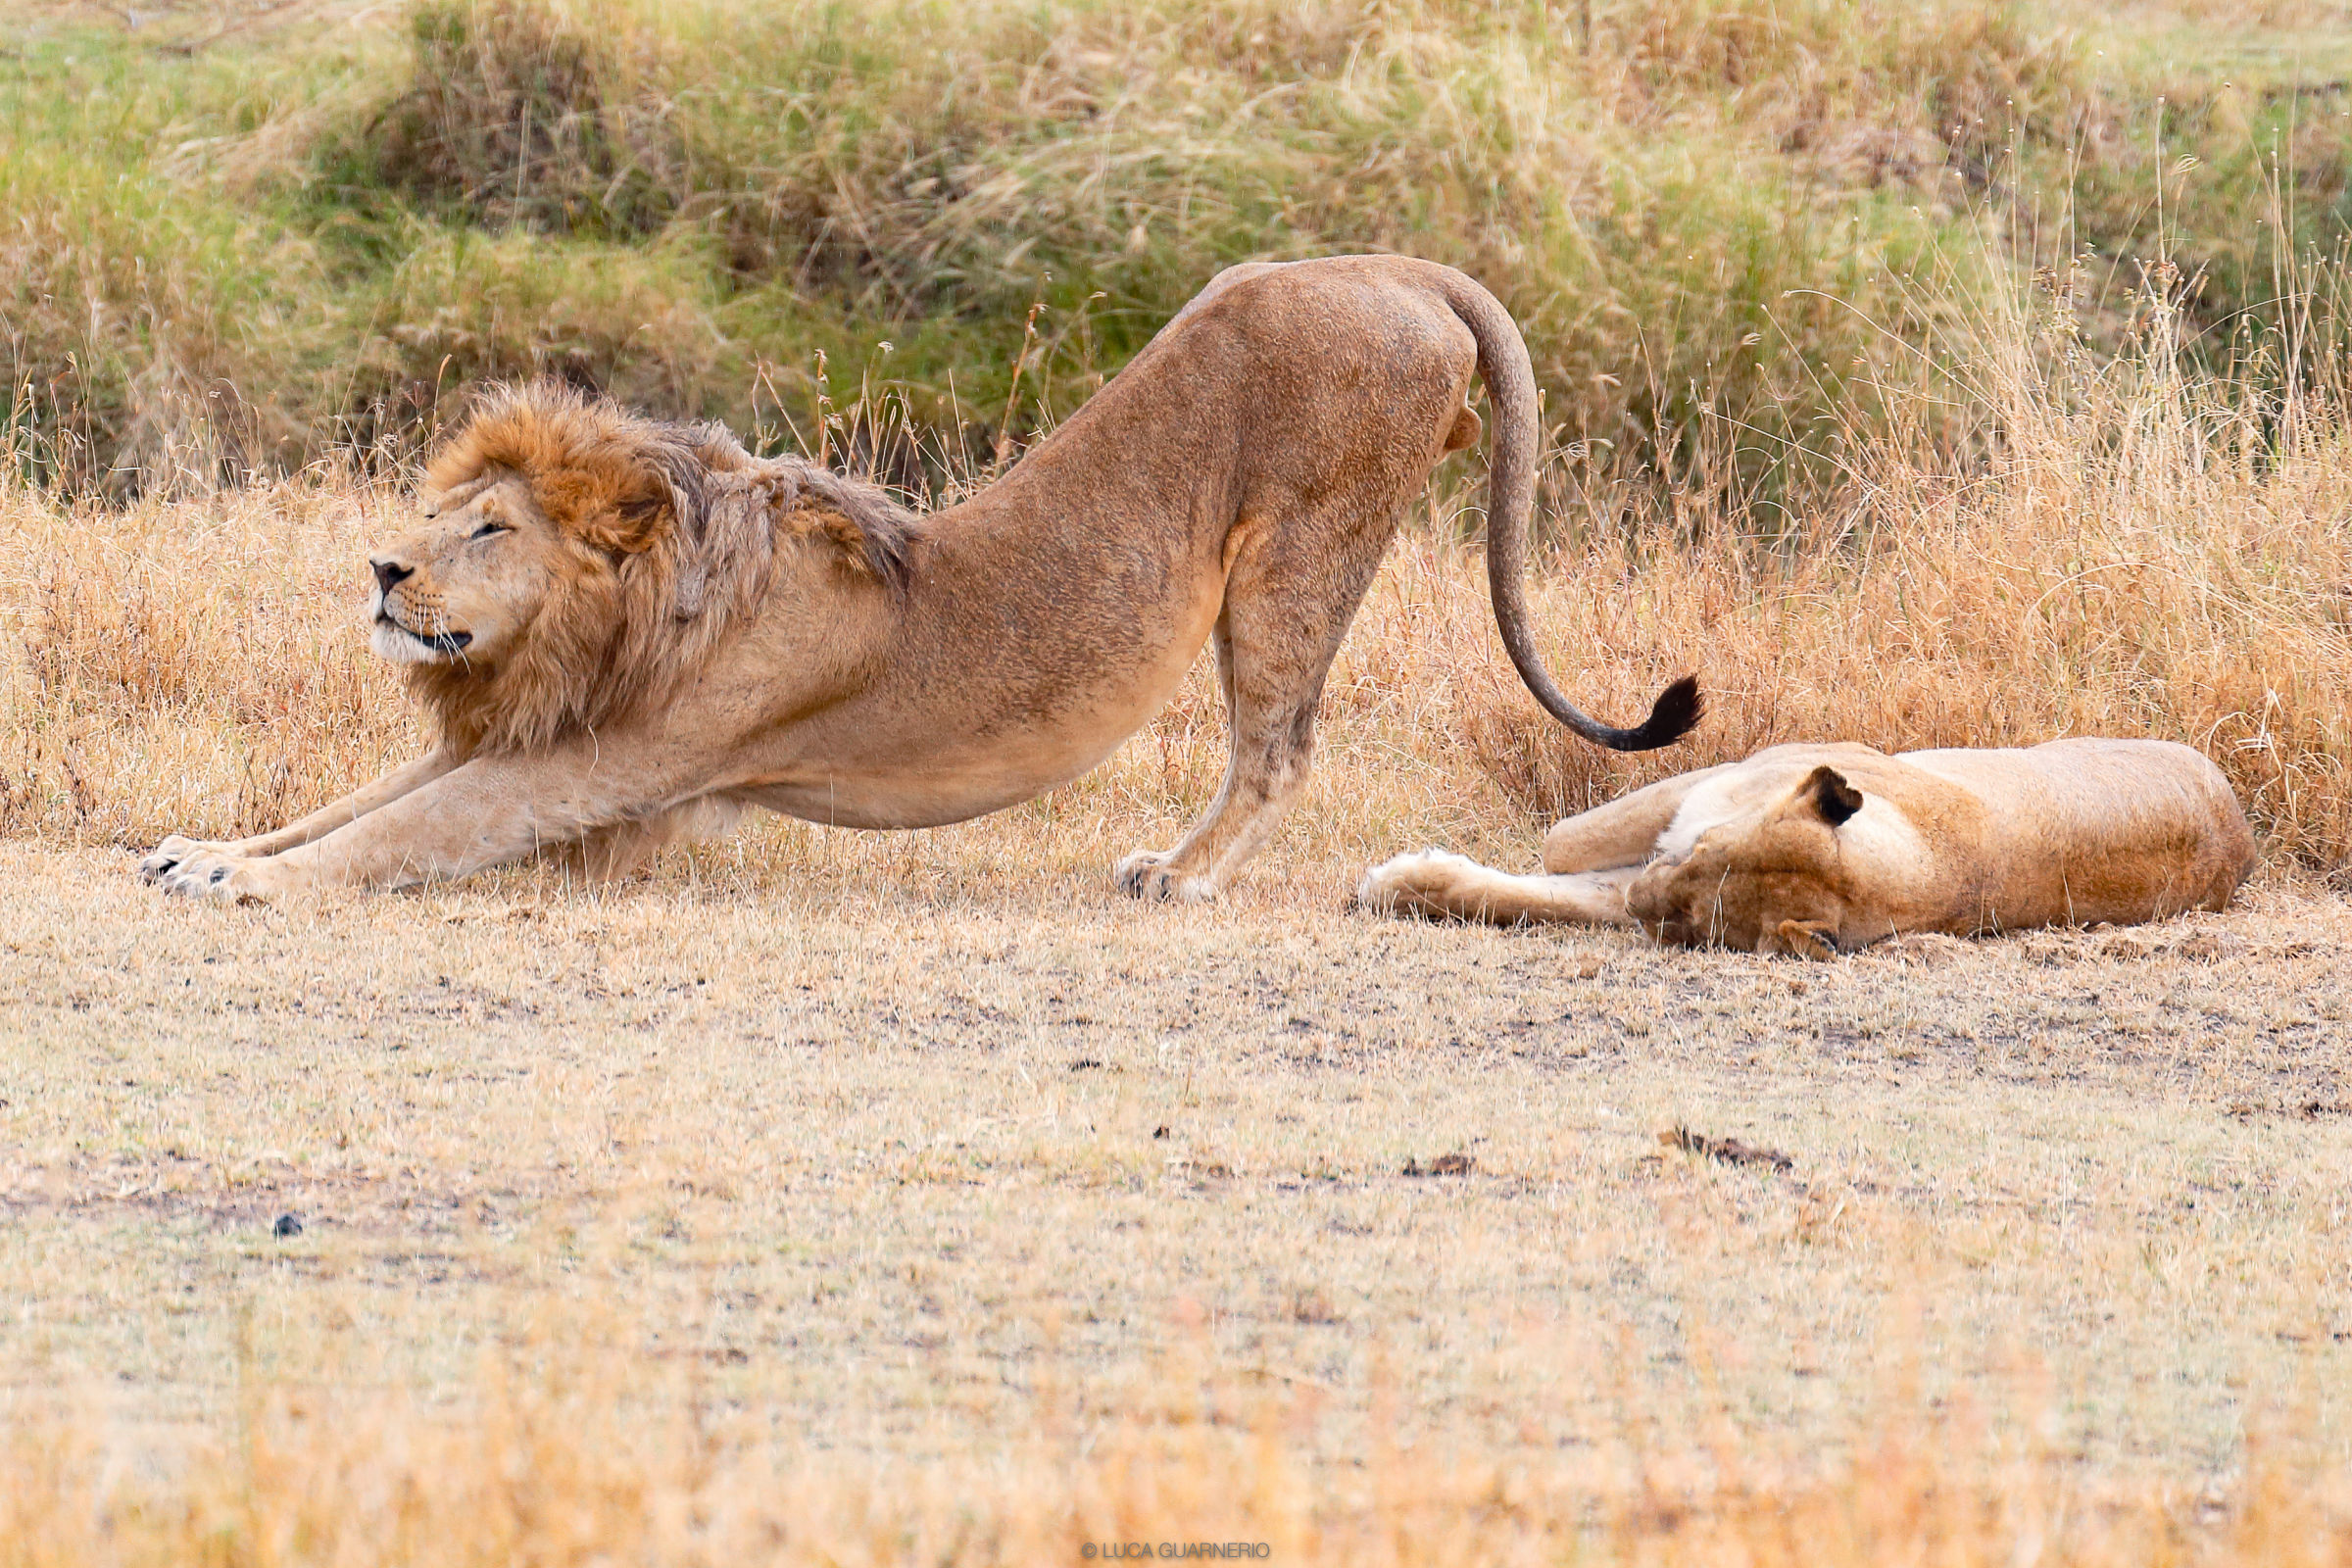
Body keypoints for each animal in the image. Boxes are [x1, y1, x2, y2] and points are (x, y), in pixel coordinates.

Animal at [142, 255, 1698, 902]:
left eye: (489, 533)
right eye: (433, 509)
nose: (380, 567)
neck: (623, 617)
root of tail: (1402, 265)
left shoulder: (617, 763)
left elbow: (397, 833)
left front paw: (235, 881)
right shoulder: (553, 729)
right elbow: (354, 801)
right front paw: (200, 844)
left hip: (1299, 554)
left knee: (1279, 748)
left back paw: (1178, 877)